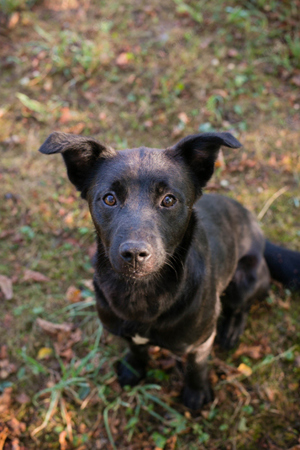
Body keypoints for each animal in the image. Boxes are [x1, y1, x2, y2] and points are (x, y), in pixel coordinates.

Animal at [39, 132, 300, 410]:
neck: (140, 293)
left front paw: (196, 393)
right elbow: (135, 348)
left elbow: (197, 366)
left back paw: (231, 330)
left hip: (245, 277)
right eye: (109, 198)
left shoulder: (200, 342)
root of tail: (256, 228)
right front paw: (134, 369)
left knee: (242, 306)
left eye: (168, 200)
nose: (134, 254)